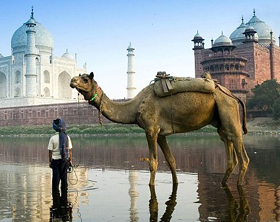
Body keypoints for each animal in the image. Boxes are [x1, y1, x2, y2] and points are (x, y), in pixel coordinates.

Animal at [70, 72, 249, 186]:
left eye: (85, 79)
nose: (72, 81)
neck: (135, 107)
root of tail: (233, 95)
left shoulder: (150, 129)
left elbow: (153, 162)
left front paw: (151, 185)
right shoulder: (161, 134)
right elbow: (171, 160)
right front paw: (176, 182)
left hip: (228, 109)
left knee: (242, 154)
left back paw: (239, 185)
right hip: (220, 121)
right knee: (229, 150)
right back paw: (223, 183)